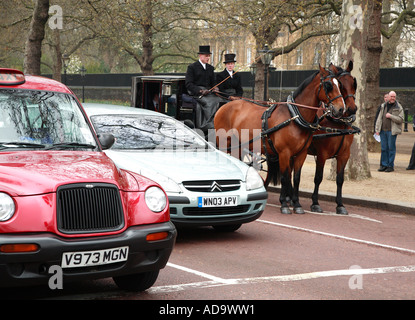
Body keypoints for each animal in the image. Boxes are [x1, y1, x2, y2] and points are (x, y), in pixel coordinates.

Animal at [216, 65, 346, 214]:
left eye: (340, 85)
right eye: (328, 85)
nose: (341, 109)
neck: (294, 116)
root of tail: (224, 106)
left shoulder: (301, 154)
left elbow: (296, 178)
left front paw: (297, 204)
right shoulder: (284, 153)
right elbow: (285, 177)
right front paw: (284, 204)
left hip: (239, 147)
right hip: (223, 144)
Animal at [308, 60, 360, 215]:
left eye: (354, 83)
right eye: (341, 85)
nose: (351, 109)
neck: (338, 123)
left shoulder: (344, 155)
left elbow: (340, 179)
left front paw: (340, 205)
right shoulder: (322, 154)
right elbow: (318, 178)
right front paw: (315, 203)